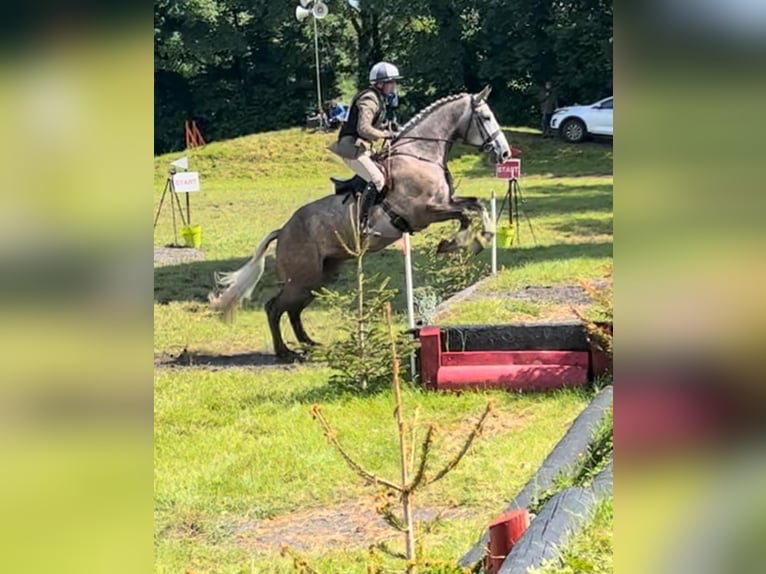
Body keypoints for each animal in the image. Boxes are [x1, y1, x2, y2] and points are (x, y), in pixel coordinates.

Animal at [207, 84, 512, 360]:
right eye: (486, 117)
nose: (505, 154)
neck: (420, 154)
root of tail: (283, 230)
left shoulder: (445, 203)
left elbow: (475, 205)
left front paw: (481, 237)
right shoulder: (425, 213)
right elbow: (464, 215)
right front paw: (453, 244)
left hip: (320, 277)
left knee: (292, 309)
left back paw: (310, 344)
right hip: (303, 277)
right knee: (274, 307)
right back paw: (285, 352)